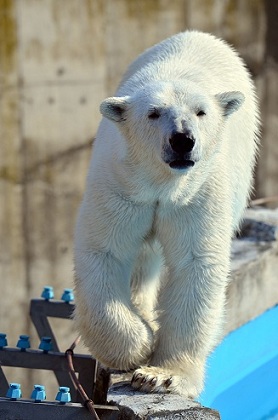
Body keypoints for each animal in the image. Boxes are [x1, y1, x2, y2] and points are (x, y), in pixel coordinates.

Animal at [73, 31, 258, 398]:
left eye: (201, 112)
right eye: (154, 113)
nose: (182, 140)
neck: (163, 184)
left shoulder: (196, 194)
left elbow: (196, 262)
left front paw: (161, 375)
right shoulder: (122, 187)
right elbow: (105, 252)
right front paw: (139, 346)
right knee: (142, 259)